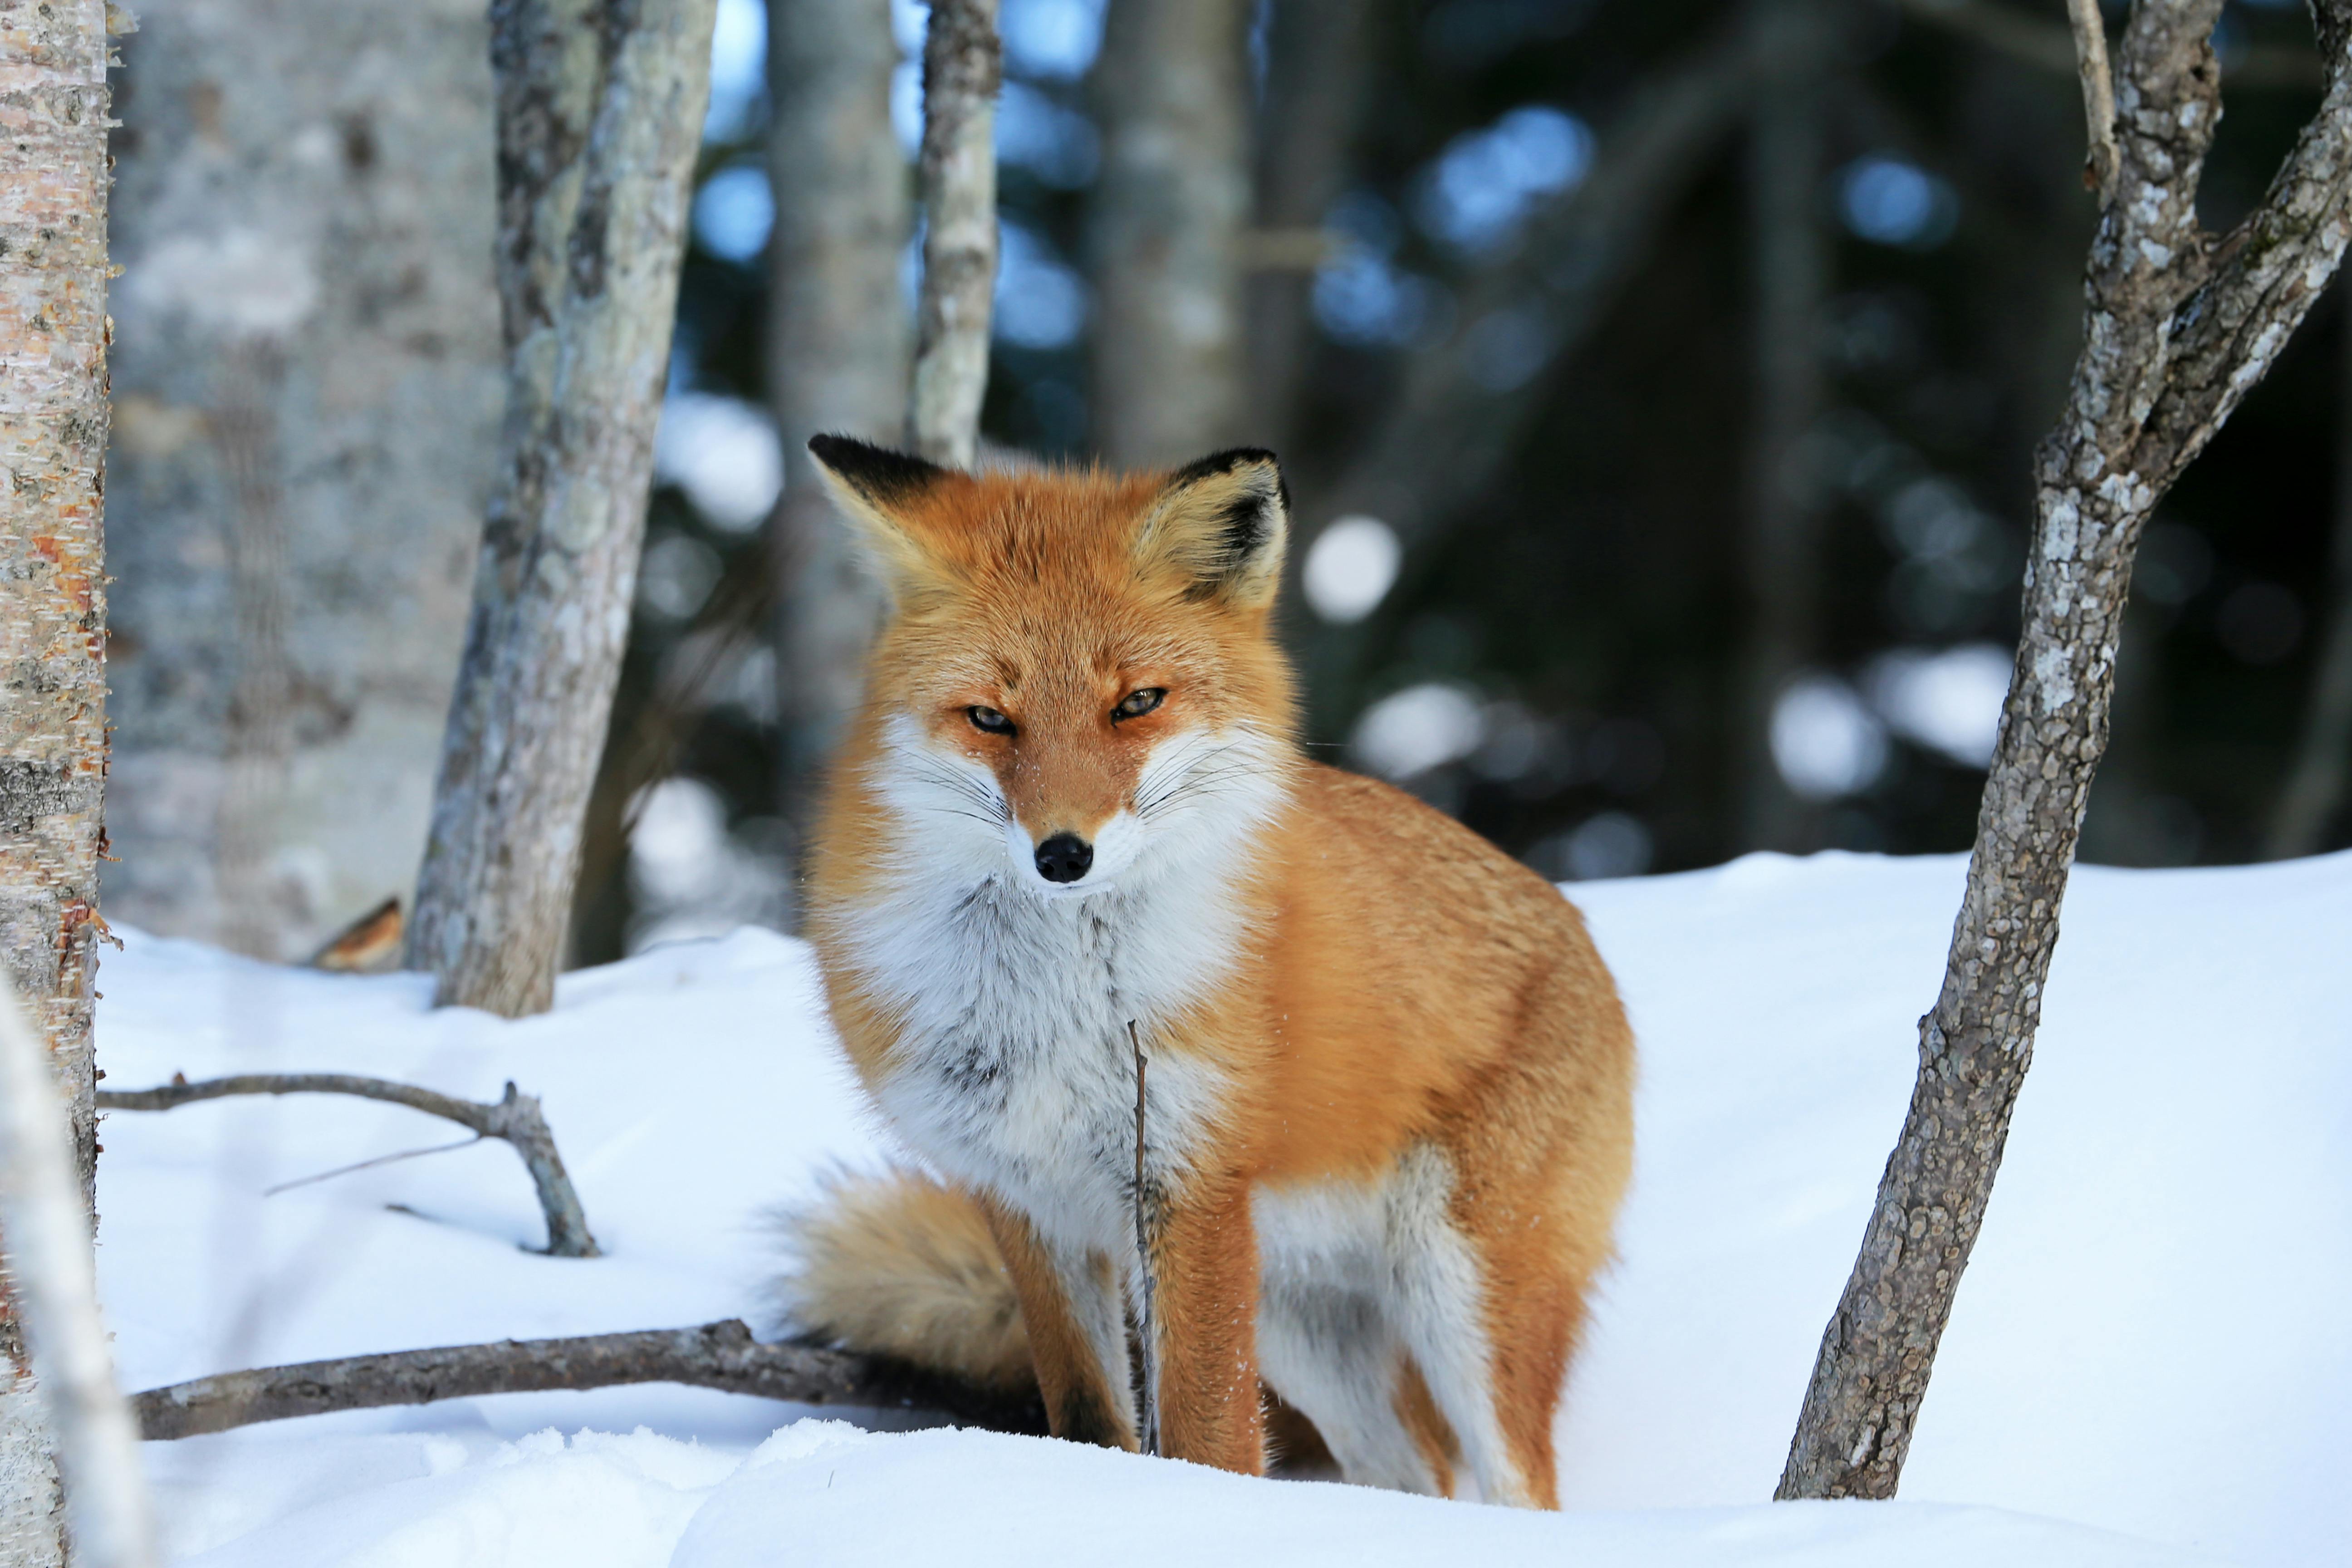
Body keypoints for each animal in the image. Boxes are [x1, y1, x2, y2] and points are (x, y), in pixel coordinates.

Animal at [783, 434, 1635, 1508]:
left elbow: (1211, 1438)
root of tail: (1580, 926)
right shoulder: (1026, 1198)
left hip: (1464, 1294)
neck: (1052, 1007)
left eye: (1136, 703)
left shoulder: (1191, 1184)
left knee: (1520, 1486)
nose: (1064, 855)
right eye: (989, 718)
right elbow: (1089, 1419)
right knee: (1419, 1475)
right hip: (1305, 1325)